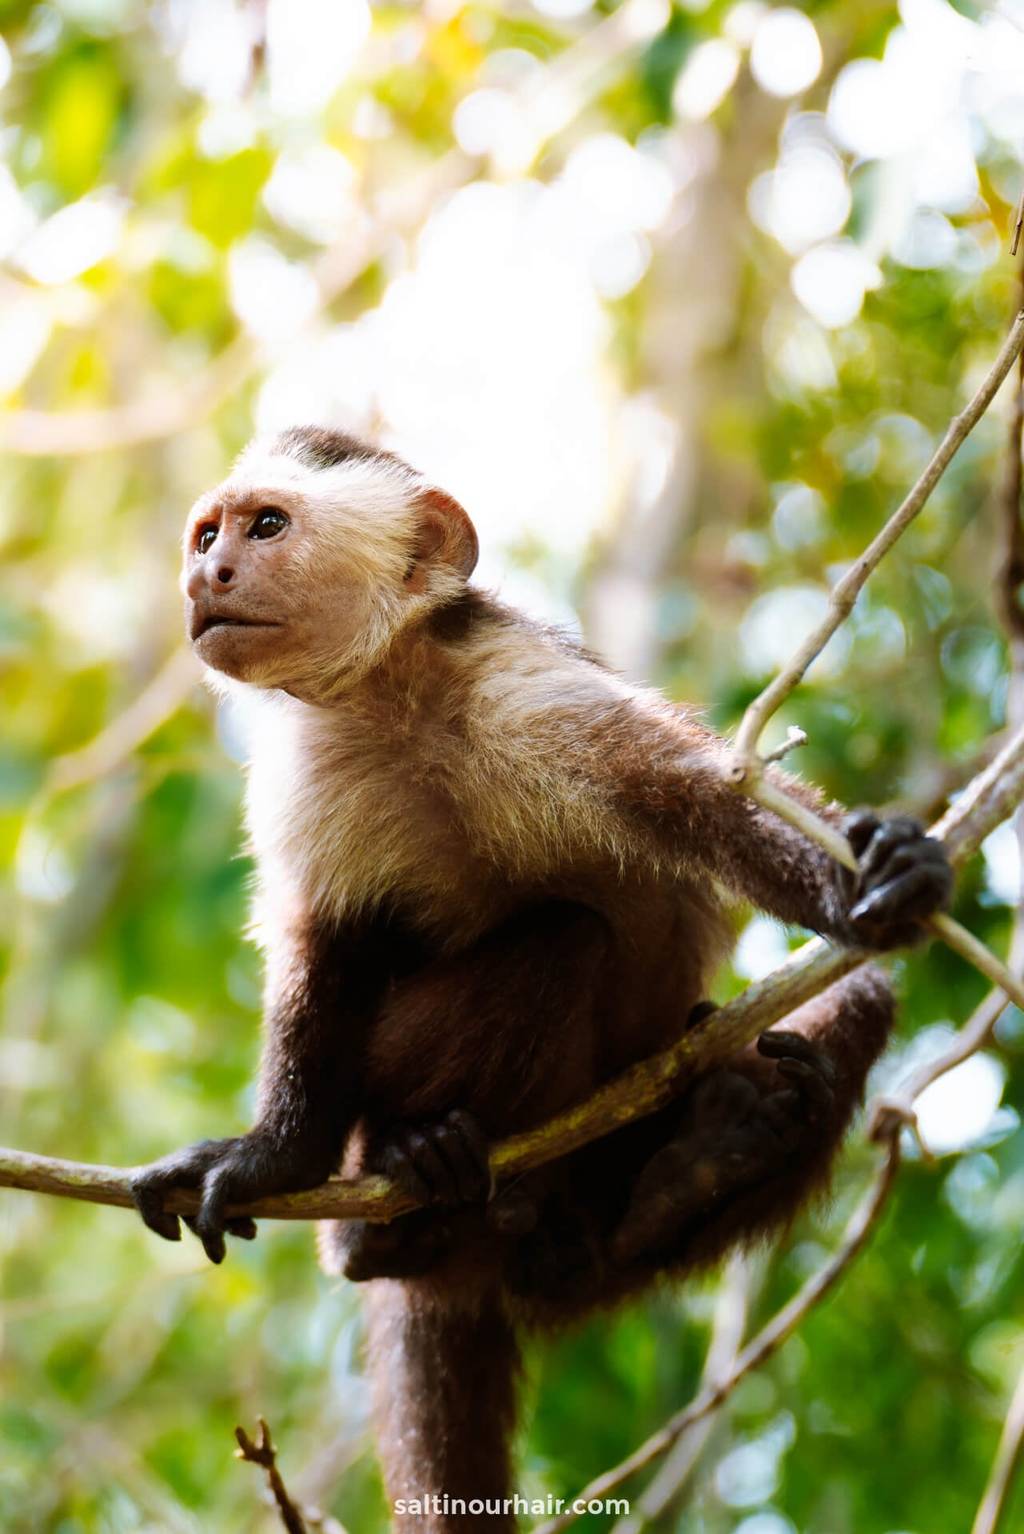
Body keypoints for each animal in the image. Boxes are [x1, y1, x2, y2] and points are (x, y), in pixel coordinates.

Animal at [130, 425, 952, 1531]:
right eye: (207, 534)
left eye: (264, 527)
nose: (205, 573)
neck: (396, 697)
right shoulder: (304, 772)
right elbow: (324, 952)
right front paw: (275, 1158)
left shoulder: (527, 690)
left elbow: (707, 804)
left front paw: (880, 872)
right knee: (561, 944)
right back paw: (401, 1198)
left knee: (774, 993)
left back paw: (685, 1171)